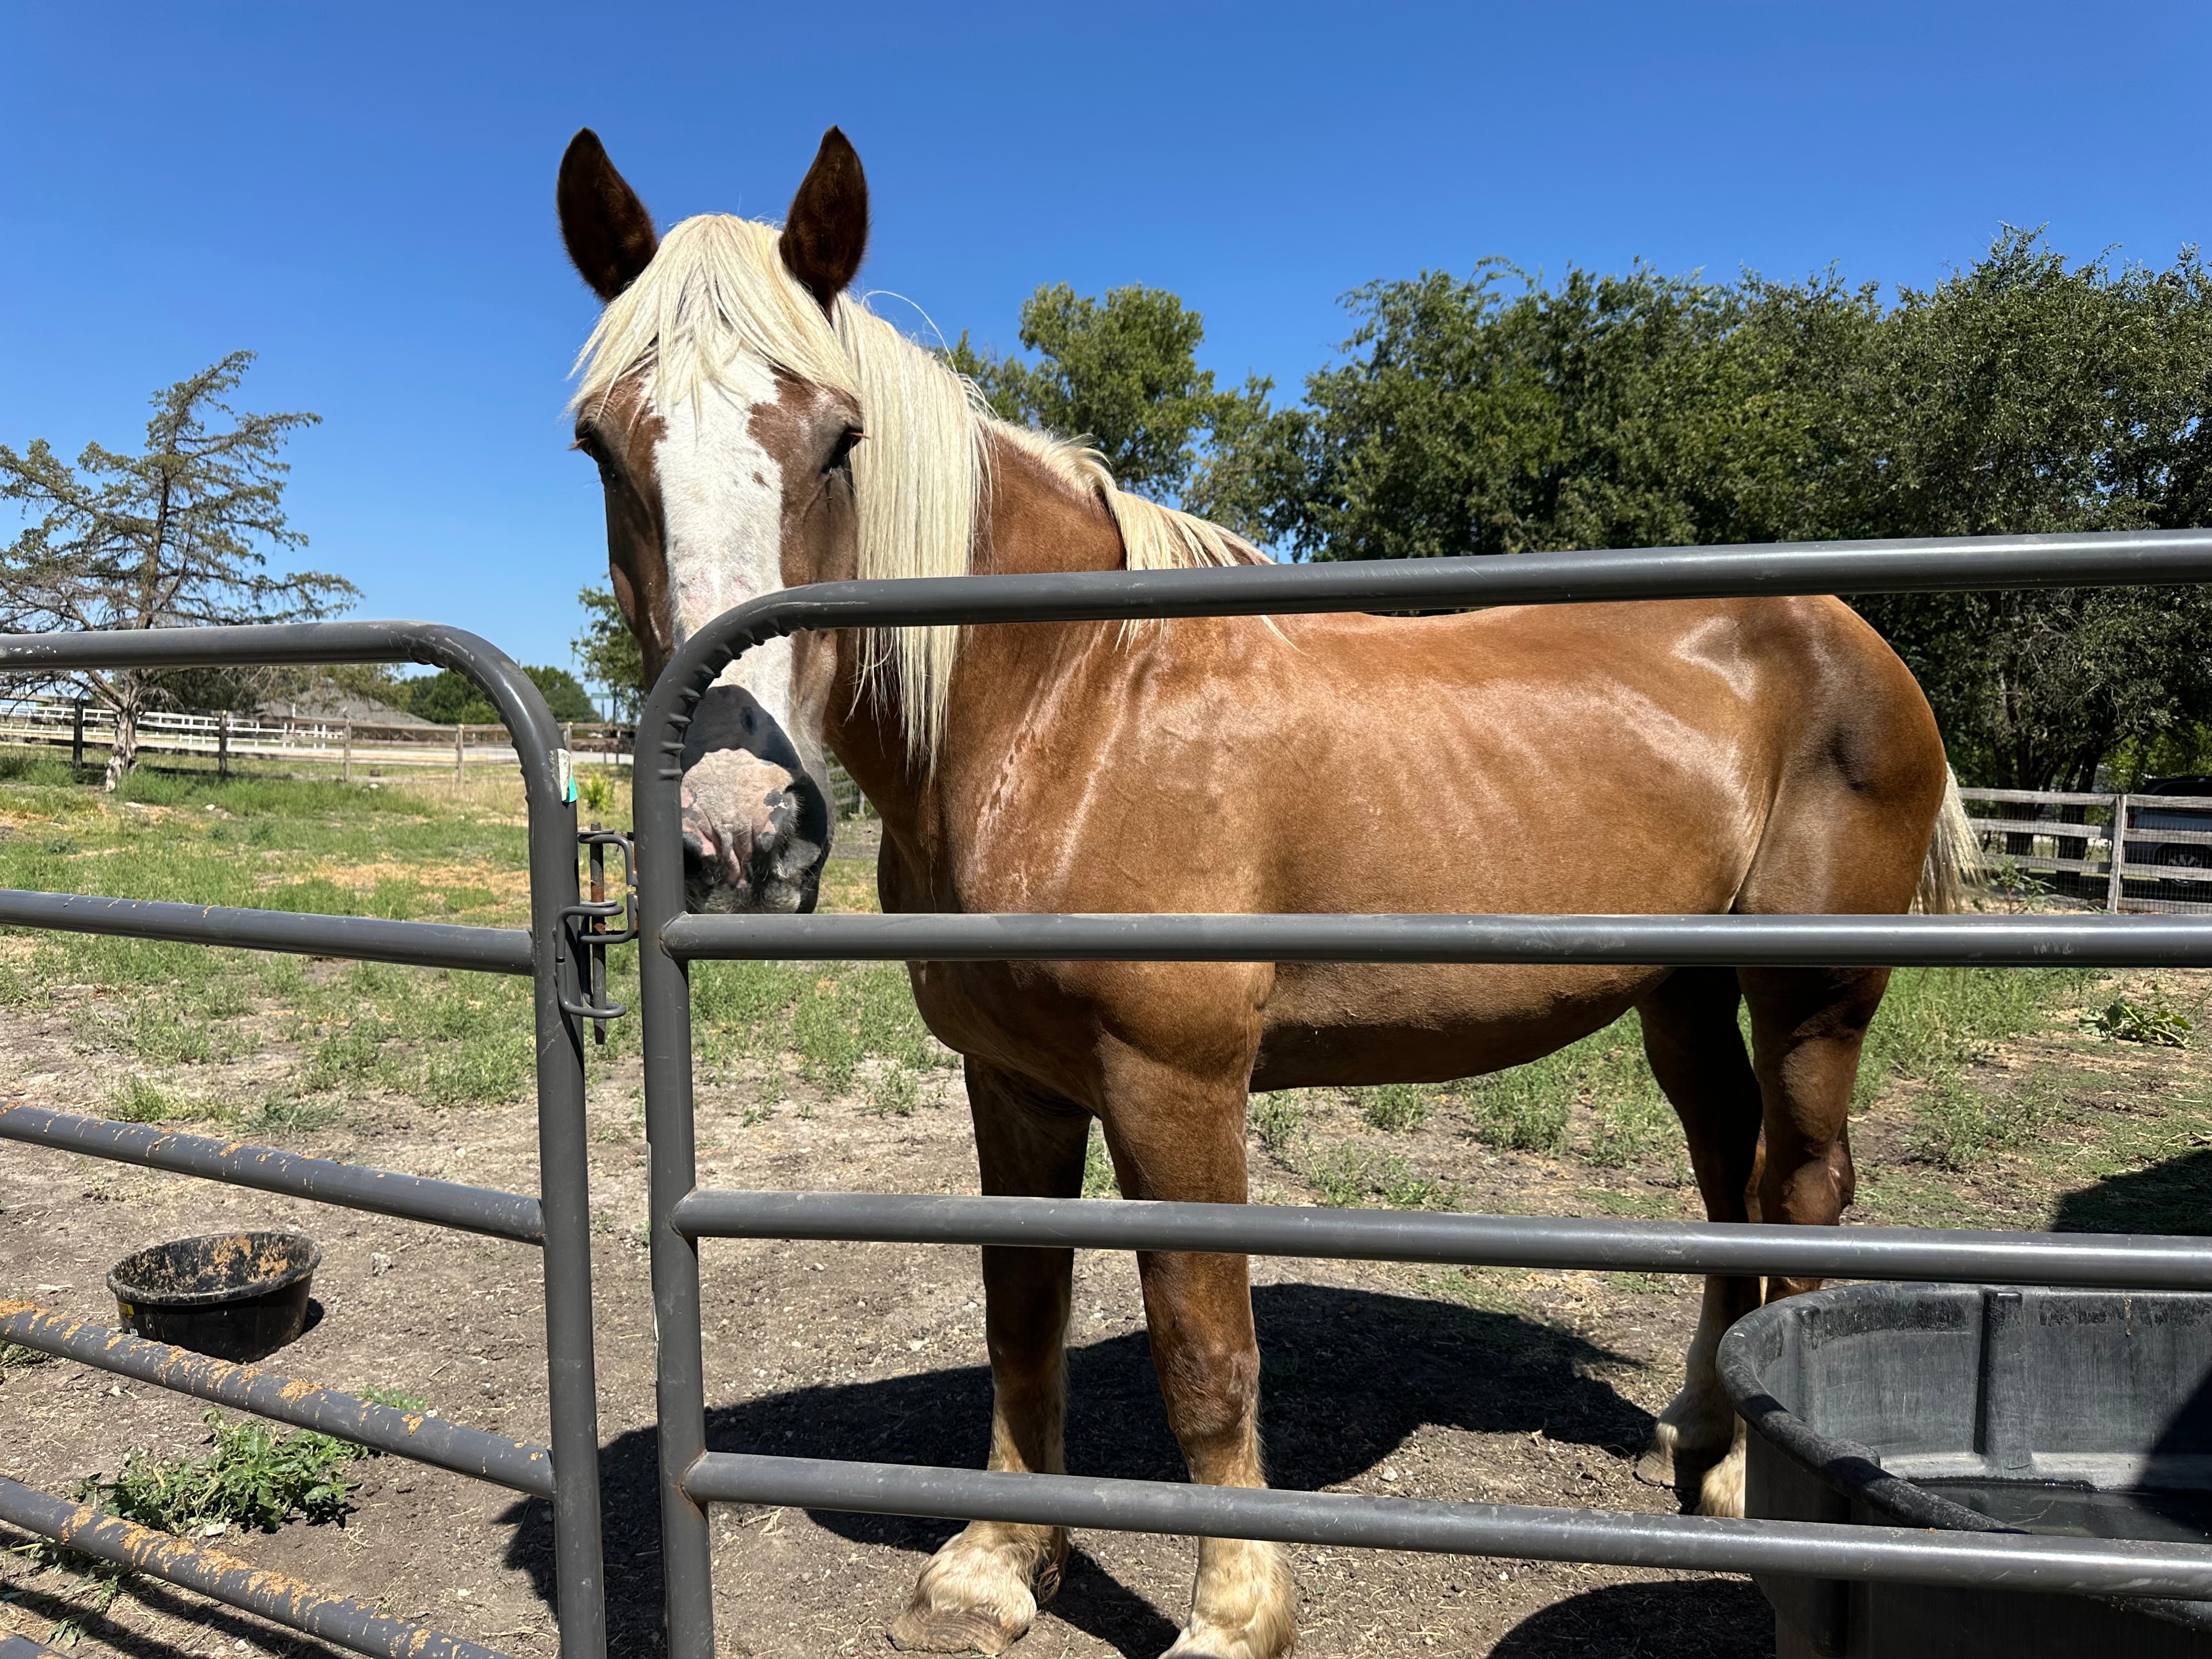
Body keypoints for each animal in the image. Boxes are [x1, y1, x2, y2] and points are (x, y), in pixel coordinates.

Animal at [556, 125, 1971, 1659]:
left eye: (840, 441)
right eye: (600, 446)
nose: (736, 827)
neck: (1069, 702)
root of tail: (1844, 631)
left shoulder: (1173, 1085)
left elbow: (1205, 1352)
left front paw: (1234, 1612)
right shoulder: (1014, 1082)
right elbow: (1018, 1315)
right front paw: (998, 1564)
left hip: (1812, 989)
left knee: (1803, 1185)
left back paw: (1748, 1485)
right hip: (1682, 990)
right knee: (1727, 1179)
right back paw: (1705, 1448)